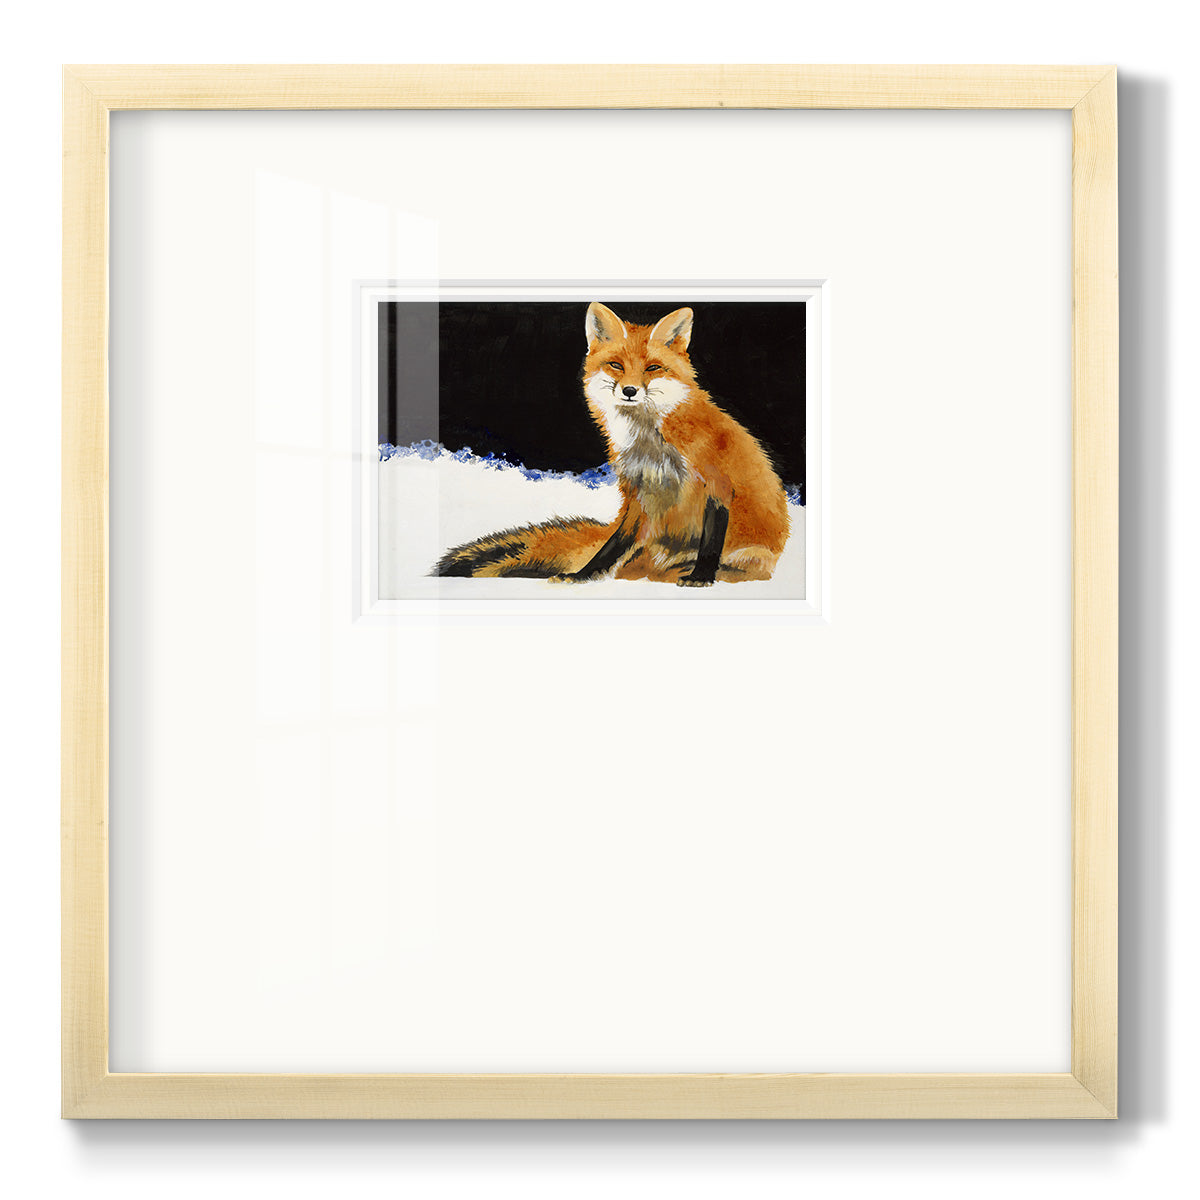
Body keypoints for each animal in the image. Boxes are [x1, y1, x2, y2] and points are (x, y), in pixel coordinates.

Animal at [433, 302, 790, 586]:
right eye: (617, 365)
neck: (652, 444)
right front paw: (583, 575)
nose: (630, 390)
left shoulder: (717, 483)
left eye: (653, 368)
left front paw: (701, 576)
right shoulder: (637, 493)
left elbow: (711, 542)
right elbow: (611, 547)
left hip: (751, 555)